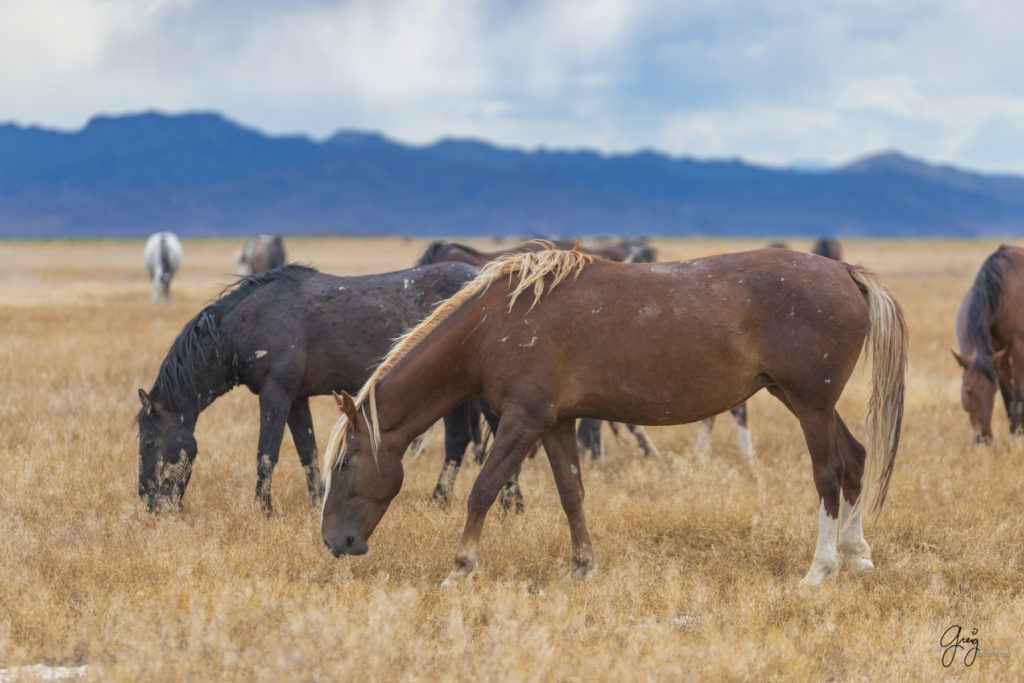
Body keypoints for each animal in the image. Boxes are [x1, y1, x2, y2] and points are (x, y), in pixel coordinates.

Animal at [135, 262, 479, 511]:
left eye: (149, 444)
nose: (149, 503)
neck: (248, 322)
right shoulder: (297, 400)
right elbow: (308, 454)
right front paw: (316, 503)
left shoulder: (276, 394)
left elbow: (266, 454)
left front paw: (263, 508)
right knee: (459, 441)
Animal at [950, 244, 1024, 444]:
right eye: (968, 391)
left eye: (993, 390)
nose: (984, 438)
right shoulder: (1000, 354)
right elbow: (1009, 396)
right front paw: (1014, 431)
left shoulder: (1017, 349)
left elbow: (1018, 396)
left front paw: (1018, 435)